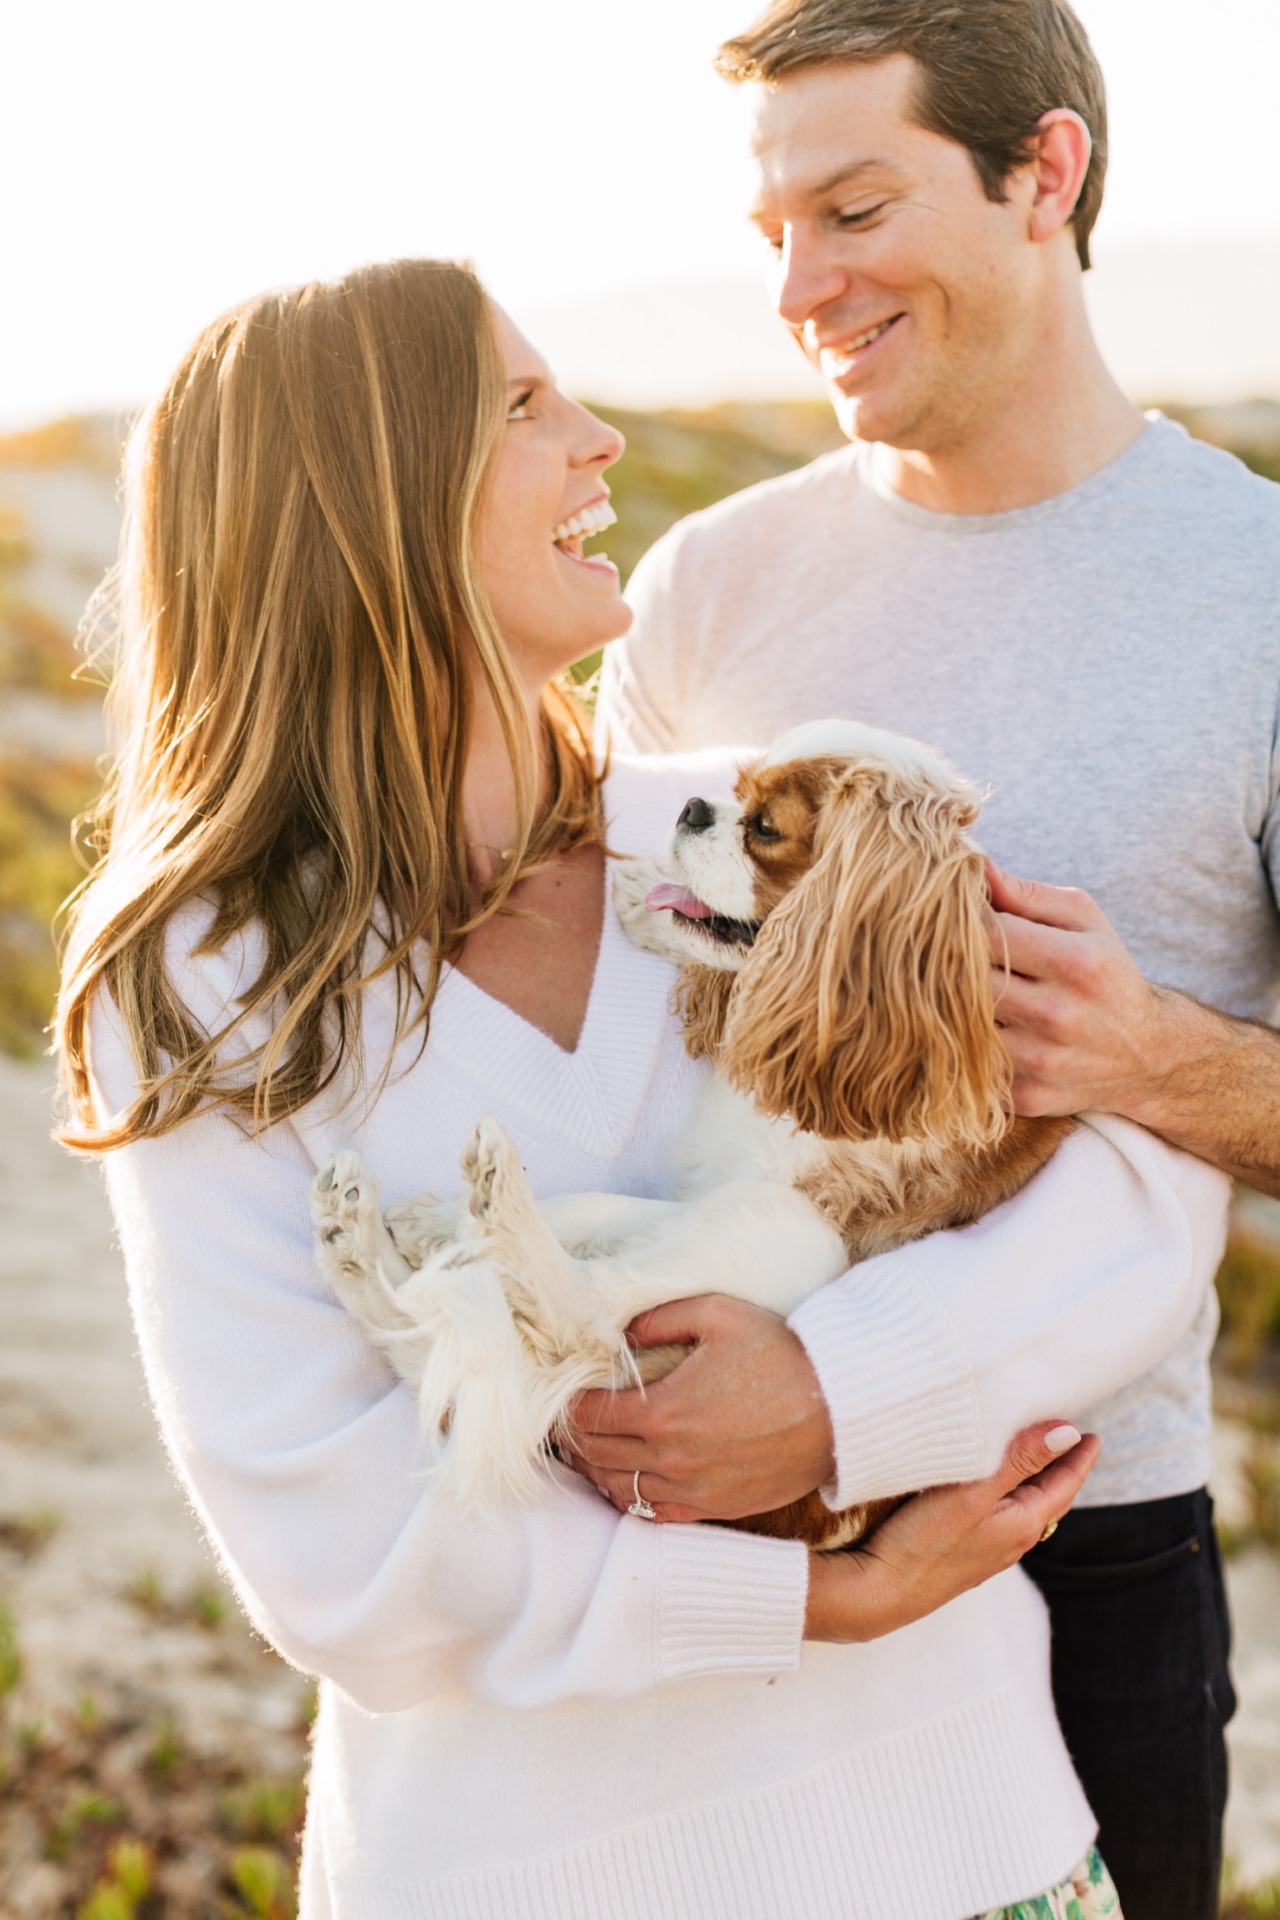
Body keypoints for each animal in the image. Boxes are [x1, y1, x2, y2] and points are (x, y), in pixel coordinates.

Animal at [310, 721, 1074, 1543]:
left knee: (579, 1315)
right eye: (733, 792)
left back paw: (493, 1206)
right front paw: (645, 899)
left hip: (794, 1234)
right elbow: (596, 1211)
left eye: (765, 828)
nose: (692, 808)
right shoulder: (718, 1180)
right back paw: (372, 1232)